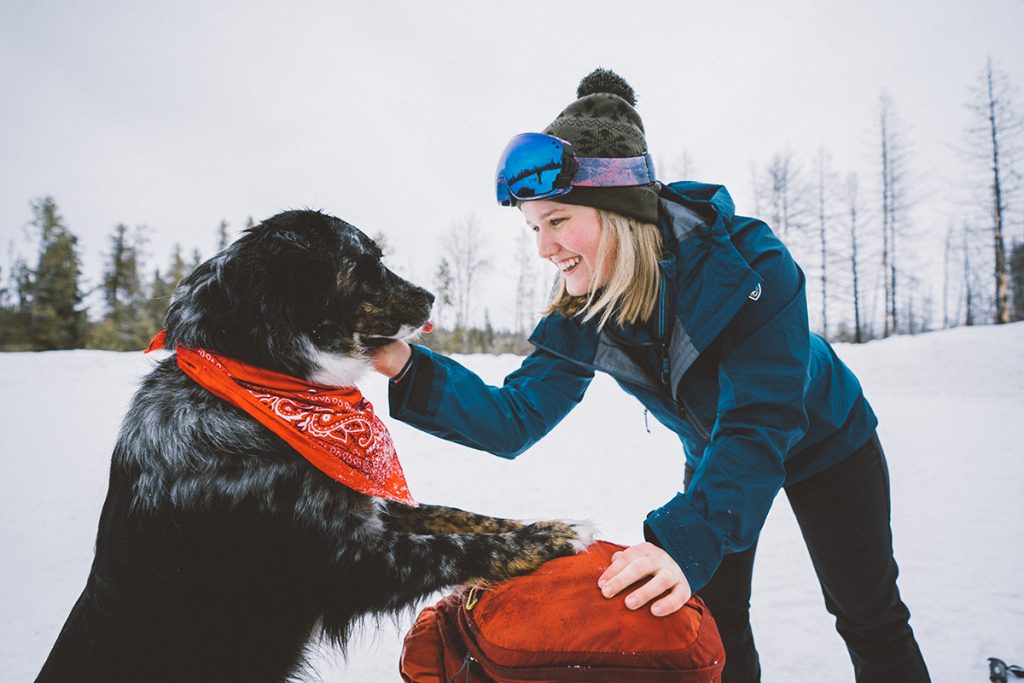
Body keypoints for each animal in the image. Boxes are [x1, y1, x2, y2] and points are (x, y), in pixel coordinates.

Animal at [37, 210, 585, 683]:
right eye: (367, 262)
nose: (432, 297)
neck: (260, 380)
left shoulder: (364, 510)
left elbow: (457, 516)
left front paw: (539, 524)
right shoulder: (343, 564)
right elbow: (453, 548)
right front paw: (552, 539)